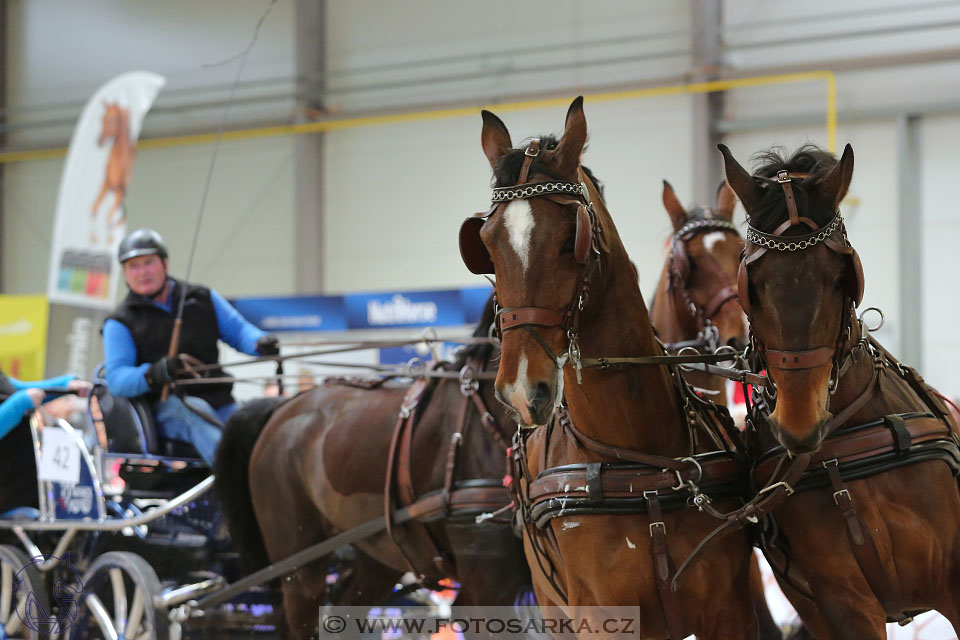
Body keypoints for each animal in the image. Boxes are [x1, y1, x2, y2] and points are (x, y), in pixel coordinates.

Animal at [91, 102, 135, 245]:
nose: (99, 141)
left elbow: (108, 217)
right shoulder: (106, 185)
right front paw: (95, 238)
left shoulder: (119, 192)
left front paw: (108, 240)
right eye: (101, 118)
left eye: (111, 120)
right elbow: (94, 209)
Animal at [466, 96, 764, 640]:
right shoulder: (602, 618)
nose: (521, 390)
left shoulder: (732, 610)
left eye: (571, 239)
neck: (639, 463)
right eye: (487, 245)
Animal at [720, 145, 960, 640]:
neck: (839, 456)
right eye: (753, 286)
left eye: (839, 277)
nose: (799, 422)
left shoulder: (954, 580)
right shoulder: (843, 604)